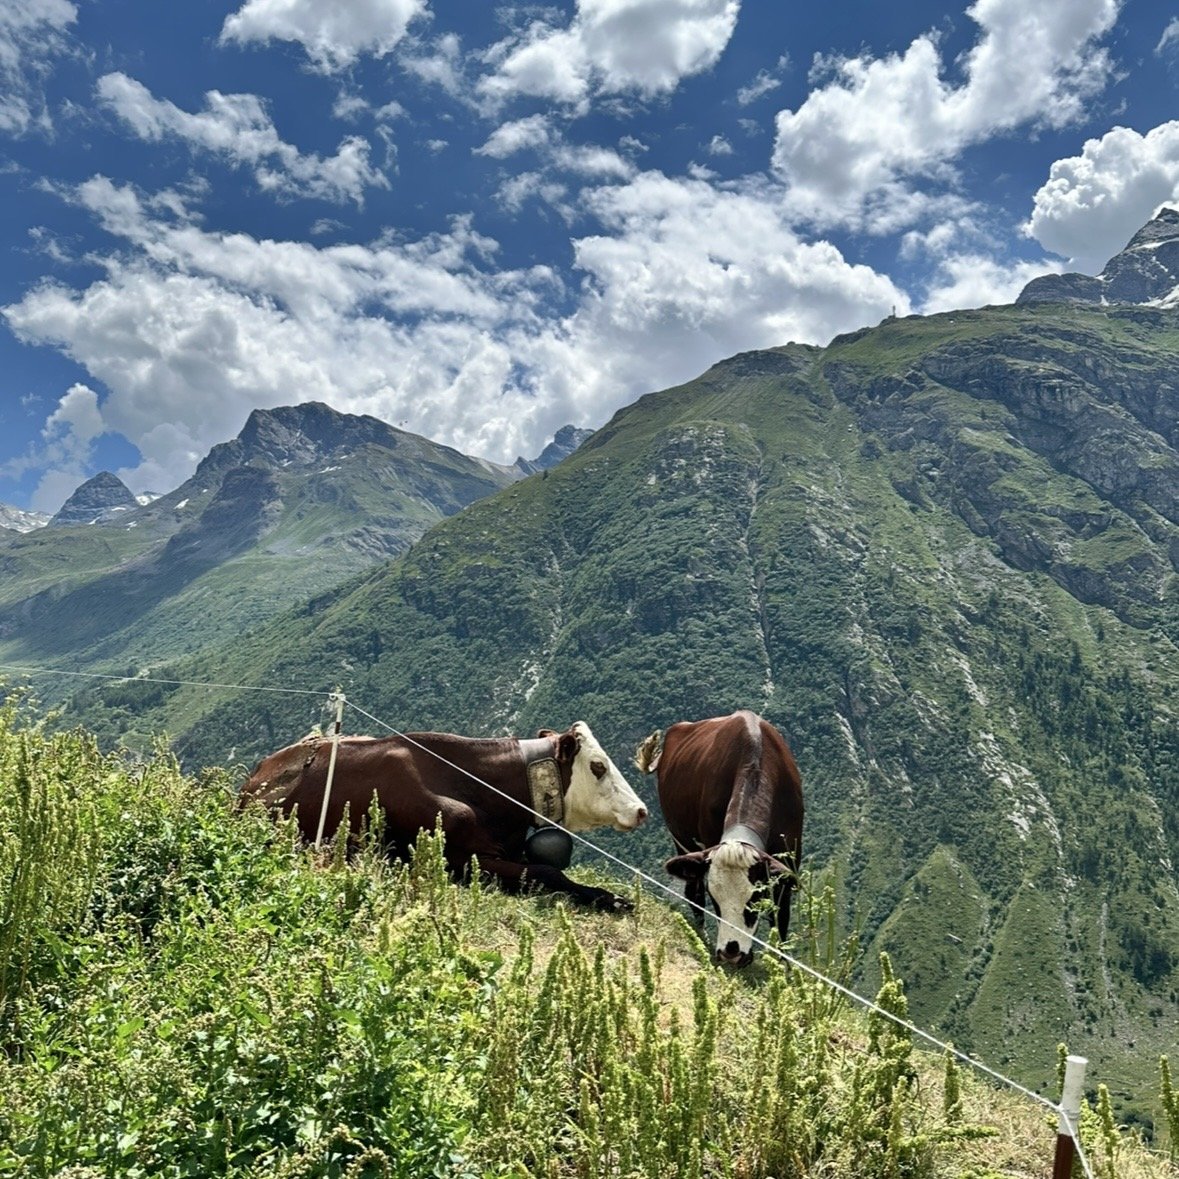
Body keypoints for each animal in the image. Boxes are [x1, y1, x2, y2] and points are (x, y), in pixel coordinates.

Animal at [635, 710, 803, 966]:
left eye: (754, 899)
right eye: (716, 899)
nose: (731, 952)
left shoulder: (789, 861)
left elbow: (781, 918)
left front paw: (784, 967)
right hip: (681, 841)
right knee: (693, 891)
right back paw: (700, 934)